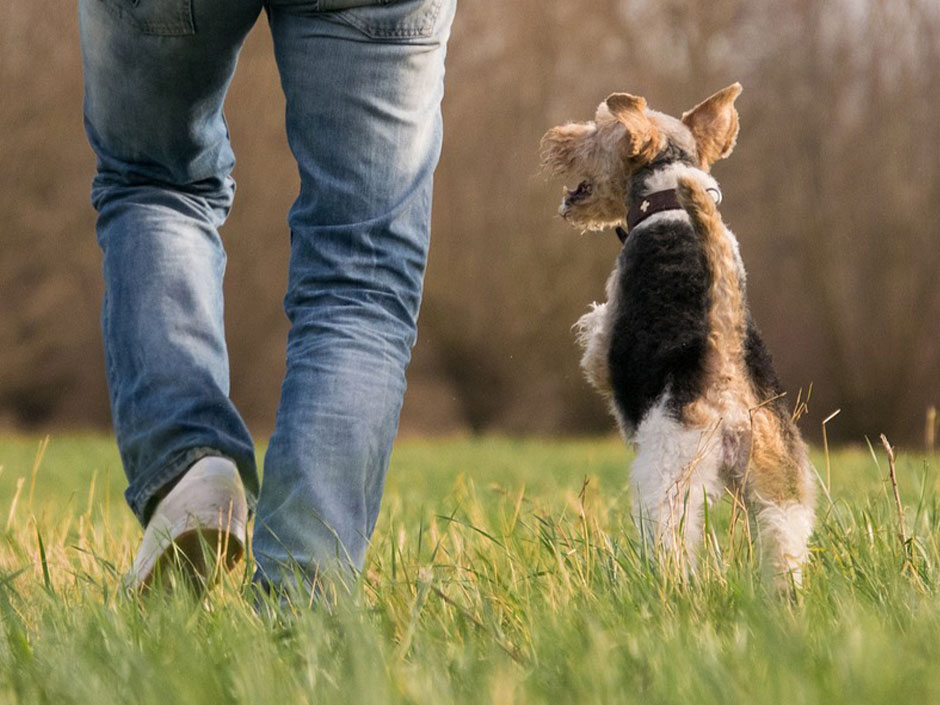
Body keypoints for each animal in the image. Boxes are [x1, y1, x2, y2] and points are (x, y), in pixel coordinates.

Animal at [544, 85, 816, 584]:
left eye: (599, 127)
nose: (557, 137)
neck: (668, 203)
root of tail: (725, 362)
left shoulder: (608, 331)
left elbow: (596, 337)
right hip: (780, 478)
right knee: (784, 541)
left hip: (670, 472)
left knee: (672, 537)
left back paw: (668, 584)